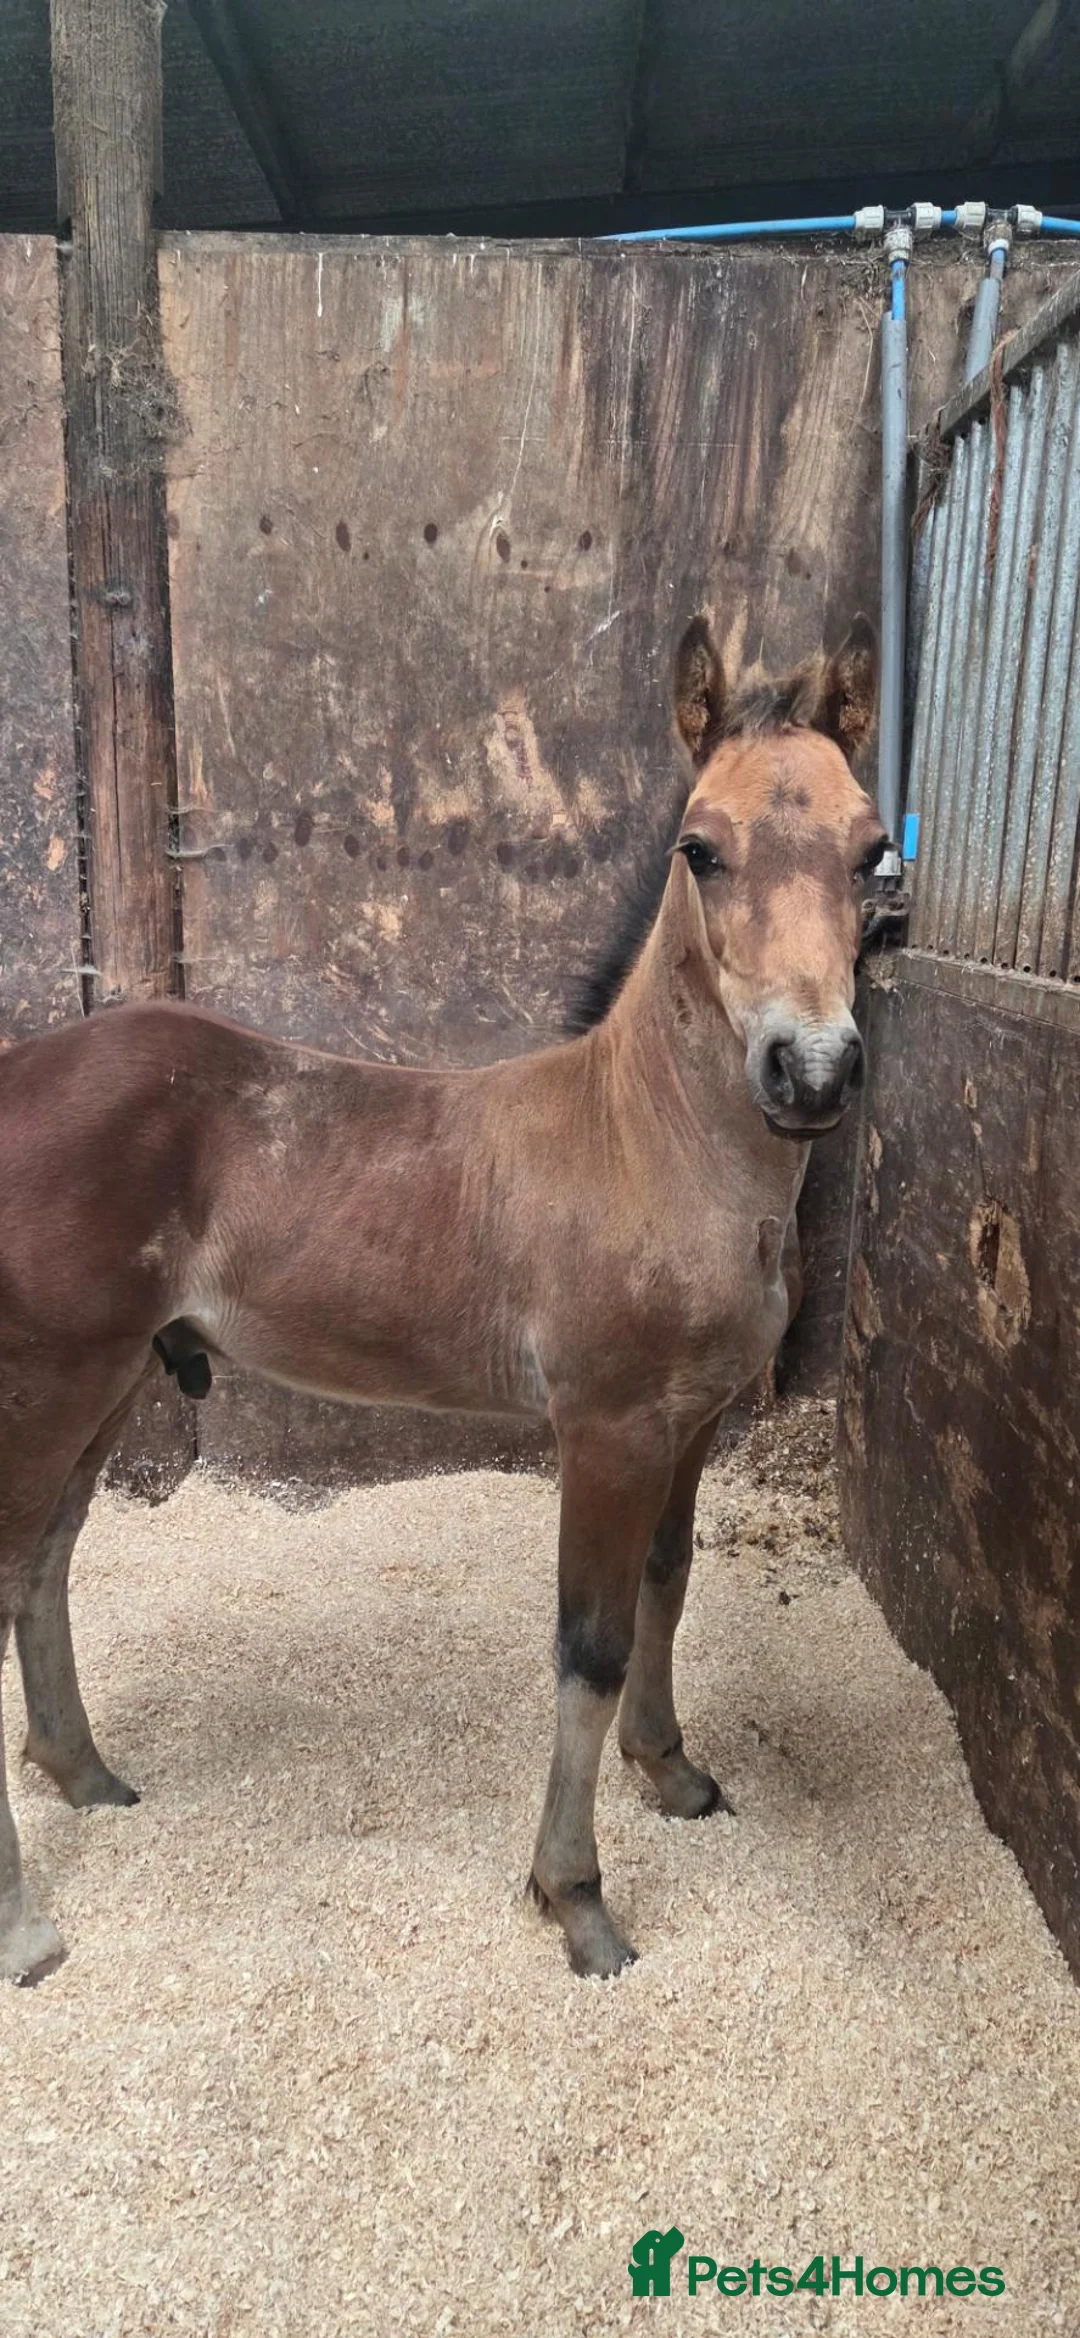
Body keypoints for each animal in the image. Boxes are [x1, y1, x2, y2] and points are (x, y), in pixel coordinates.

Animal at [0, 612, 884, 1985]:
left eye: (871, 850)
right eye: (702, 848)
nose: (814, 1069)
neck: (642, 1142)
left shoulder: (688, 1424)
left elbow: (667, 1584)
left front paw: (673, 1772)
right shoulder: (607, 1428)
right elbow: (588, 1649)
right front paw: (577, 1900)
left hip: (107, 1377)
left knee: (42, 1566)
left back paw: (85, 1771)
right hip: (49, 1378)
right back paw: (28, 1922)